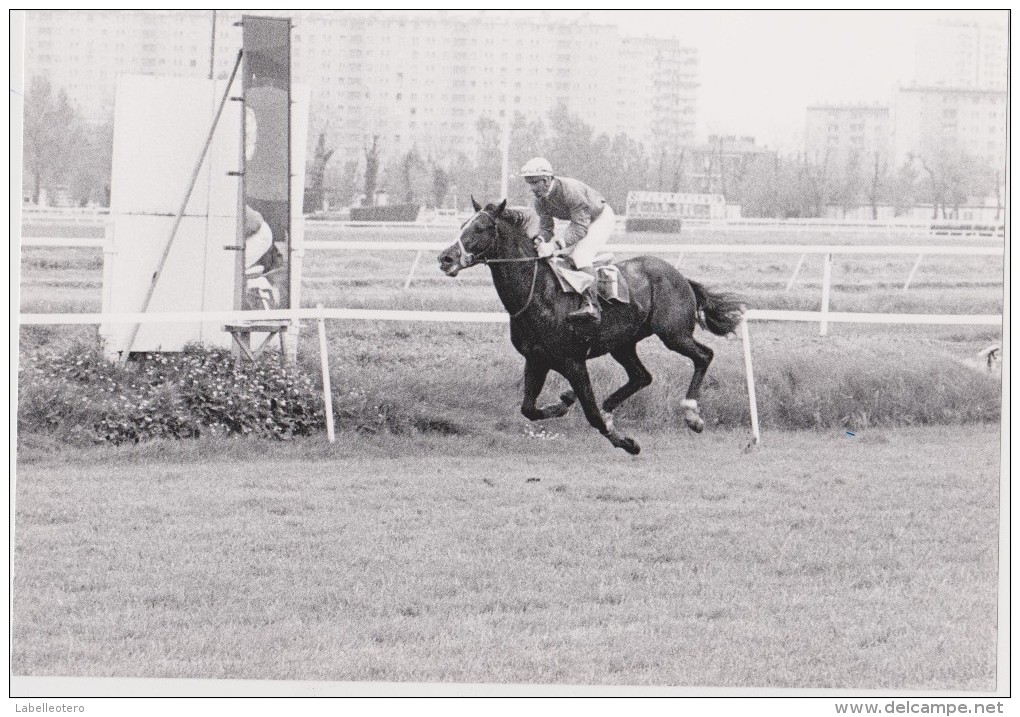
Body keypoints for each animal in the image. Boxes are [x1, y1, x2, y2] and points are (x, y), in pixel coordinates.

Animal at [436, 198, 742, 454]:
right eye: (462, 225)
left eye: (481, 227)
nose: (445, 258)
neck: (538, 294)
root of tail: (678, 275)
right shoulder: (536, 360)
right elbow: (529, 409)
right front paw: (563, 401)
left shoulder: (573, 361)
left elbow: (591, 415)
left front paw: (626, 442)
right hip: (623, 343)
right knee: (641, 376)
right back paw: (609, 408)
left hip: (673, 333)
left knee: (703, 355)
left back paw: (692, 415)